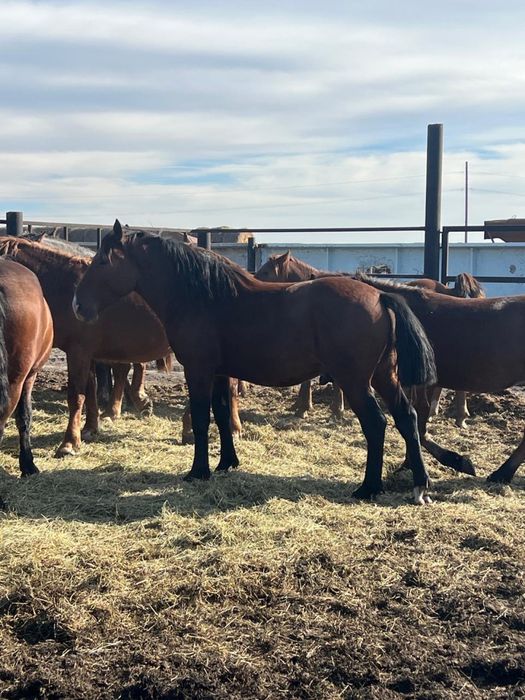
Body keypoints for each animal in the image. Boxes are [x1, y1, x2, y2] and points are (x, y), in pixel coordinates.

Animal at [0, 235, 172, 456]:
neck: (64, 285)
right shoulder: (87, 354)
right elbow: (90, 392)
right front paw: (89, 429)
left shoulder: (78, 353)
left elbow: (75, 396)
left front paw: (69, 443)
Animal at [73, 221, 438, 504]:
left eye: (102, 261)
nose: (77, 305)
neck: (203, 297)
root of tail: (380, 295)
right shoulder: (220, 372)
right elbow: (221, 415)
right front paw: (226, 463)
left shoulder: (198, 369)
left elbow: (203, 419)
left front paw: (198, 471)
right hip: (383, 377)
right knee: (406, 418)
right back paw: (419, 486)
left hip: (356, 381)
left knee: (376, 424)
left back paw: (368, 487)